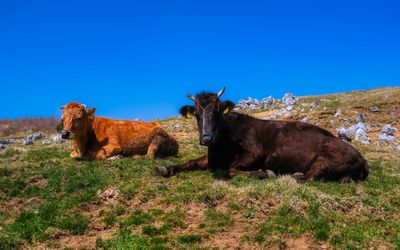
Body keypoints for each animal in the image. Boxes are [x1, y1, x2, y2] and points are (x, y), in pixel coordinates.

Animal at [155, 88, 368, 182]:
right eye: (197, 115)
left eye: (216, 112)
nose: (206, 138)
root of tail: (363, 160)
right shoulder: (211, 158)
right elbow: (190, 162)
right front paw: (165, 168)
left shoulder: (256, 154)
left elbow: (232, 169)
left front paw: (266, 172)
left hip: (327, 159)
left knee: (311, 176)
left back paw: (293, 175)